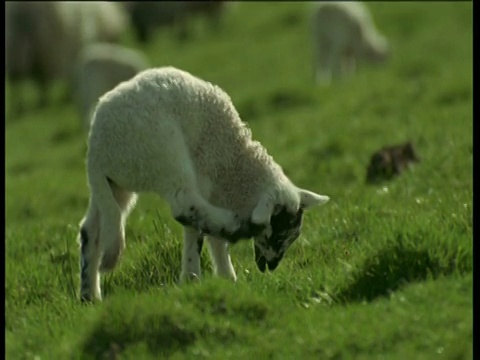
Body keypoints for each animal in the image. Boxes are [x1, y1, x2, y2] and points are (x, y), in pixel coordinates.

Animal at [79, 65, 330, 300]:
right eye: (278, 233)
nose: (270, 266)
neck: (235, 166)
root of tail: (98, 152)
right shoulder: (206, 178)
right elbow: (199, 229)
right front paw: (197, 276)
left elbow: (209, 237)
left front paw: (223, 277)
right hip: (164, 153)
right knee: (183, 204)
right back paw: (236, 226)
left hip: (115, 185)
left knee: (90, 228)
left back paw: (89, 295)